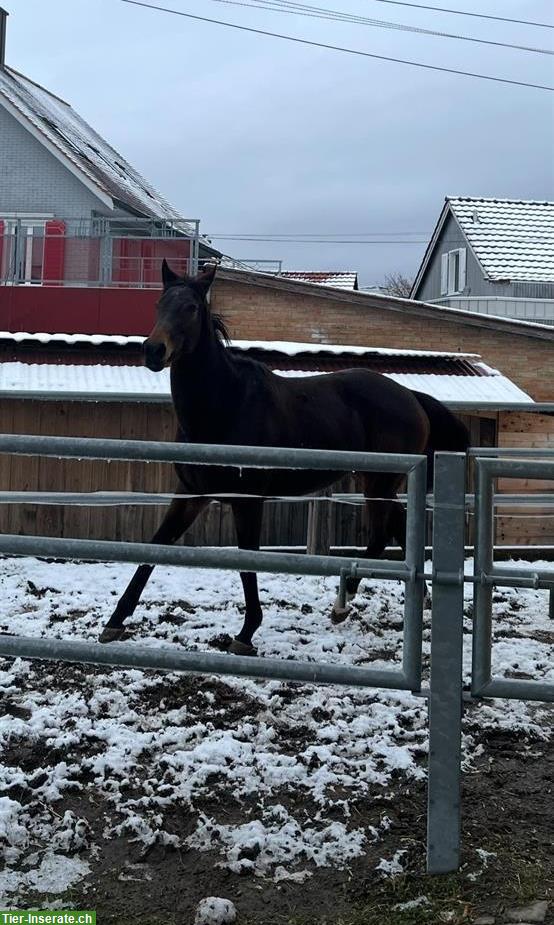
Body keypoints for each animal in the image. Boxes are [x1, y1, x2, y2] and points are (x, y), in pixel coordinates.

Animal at [98, 260, 466, 648]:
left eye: (192, 307)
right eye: (159, 305)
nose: (154, 351)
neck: (226, 403)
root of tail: (411, 397)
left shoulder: (247, 500)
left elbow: (248, 560)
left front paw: (246, 633)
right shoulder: (191, 494)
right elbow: (154, 548)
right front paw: (114, 622)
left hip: (380, 482)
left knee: (381, 536)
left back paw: (342, 603)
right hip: (380, 482)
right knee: (397, 527)